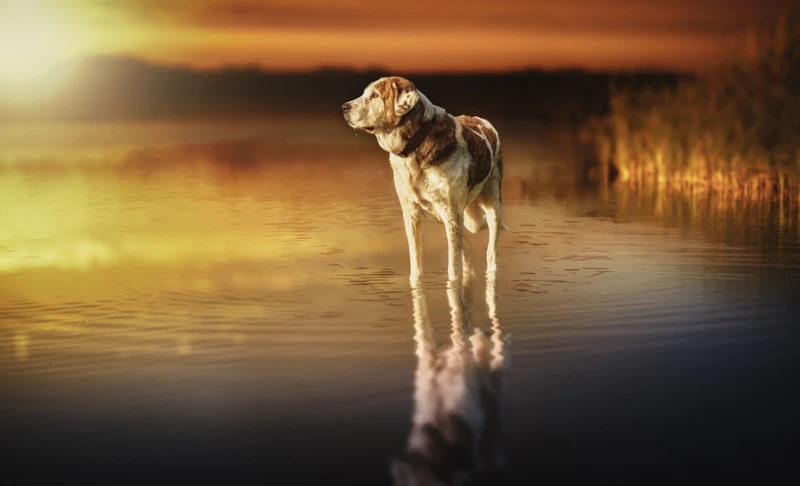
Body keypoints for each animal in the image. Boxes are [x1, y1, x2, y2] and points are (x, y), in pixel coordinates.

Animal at [342, 77, 506, 284]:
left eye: (375, 95)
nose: (344, 107)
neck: (416, 145)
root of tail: (479, 119)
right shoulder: (411, 213)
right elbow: (416, 259)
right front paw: (416, 282)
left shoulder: (451, 213)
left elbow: (453, 267)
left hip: (491, 203)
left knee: (490, 248)